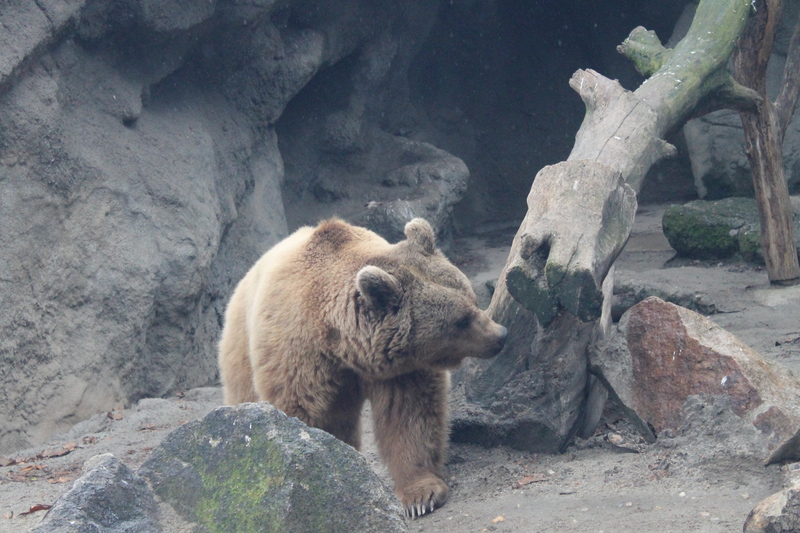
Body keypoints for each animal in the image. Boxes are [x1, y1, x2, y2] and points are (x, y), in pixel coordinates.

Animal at [219, 216, 506, 516]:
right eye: (461, 321)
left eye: (473, 300)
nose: (500, 335)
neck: (342, 344)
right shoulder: (298, 358)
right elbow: (307, 416)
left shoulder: (401, 367)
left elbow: (409, 415)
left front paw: (420, 495)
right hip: (241, 345)